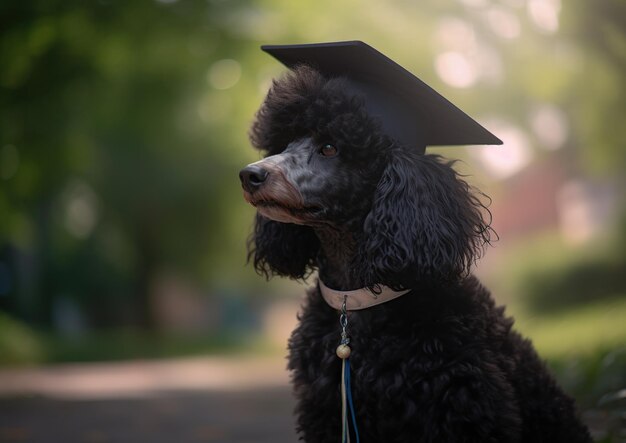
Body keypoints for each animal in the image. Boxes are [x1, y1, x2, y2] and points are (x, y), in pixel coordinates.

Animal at [238, 59, 588, 443]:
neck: (357, 302)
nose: (249, 175)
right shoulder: (324, 411)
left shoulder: (465, 410)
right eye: (286, 142)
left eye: (329, 147)